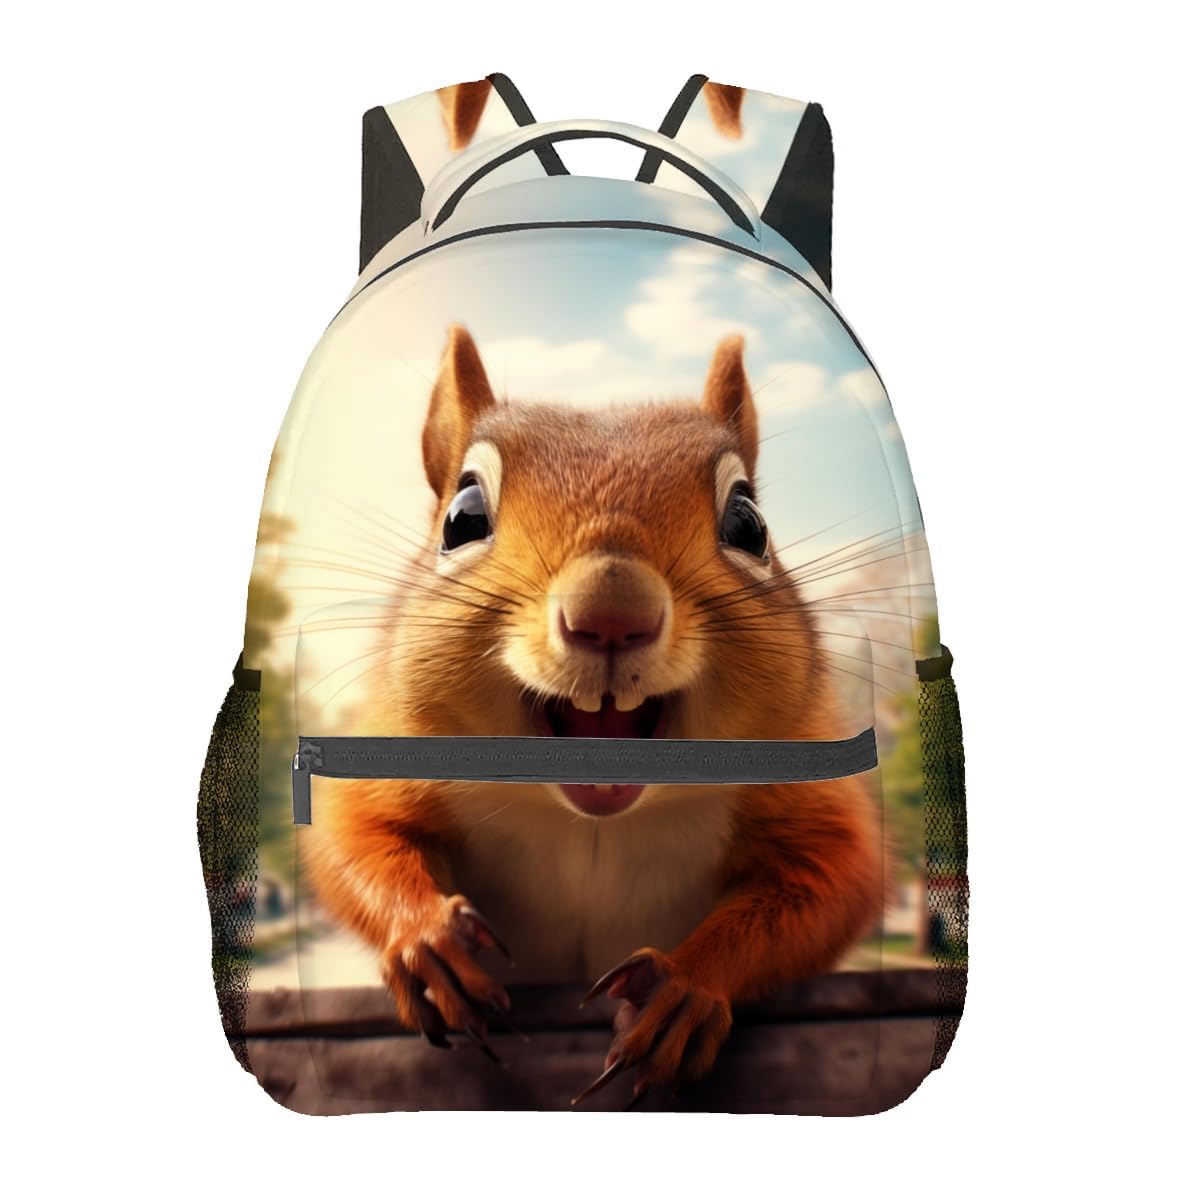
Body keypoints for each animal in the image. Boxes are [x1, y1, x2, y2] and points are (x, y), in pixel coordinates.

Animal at [303, 326, 884, 1102]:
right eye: (462, 521)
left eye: (748, 524)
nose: (612, 613)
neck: (588, 819)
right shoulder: (392, 757)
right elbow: (352, 838)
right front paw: (427, 939)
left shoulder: (805, 793)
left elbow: (834, 880)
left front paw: (686, 985)